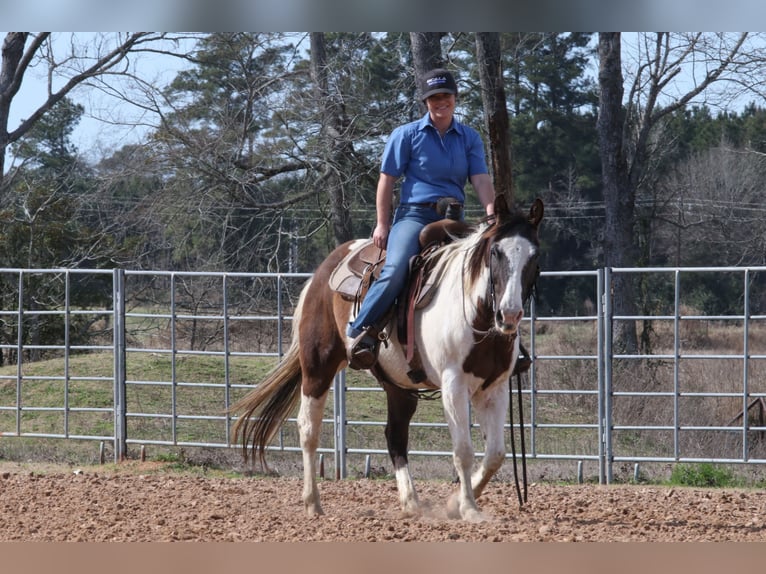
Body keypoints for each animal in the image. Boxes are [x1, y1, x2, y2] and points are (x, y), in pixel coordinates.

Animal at [231, 196, 544, 524]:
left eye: (535, 256)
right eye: (496, 252)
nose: (509, 315)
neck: (475, 312)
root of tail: (324, 270)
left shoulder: (494, 387)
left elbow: (495, 453)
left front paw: (454, 503)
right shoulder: (453, 383)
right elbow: (463, 451)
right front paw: (469, 508)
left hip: (399, 387)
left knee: (395, 435)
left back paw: (411, 502)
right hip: (318, 366)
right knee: (308, 429)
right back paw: (313, 503)